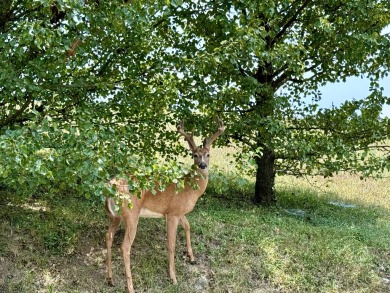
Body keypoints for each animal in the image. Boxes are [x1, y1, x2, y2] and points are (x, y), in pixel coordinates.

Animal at [105, 117, 224, 292]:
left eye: (208, 154)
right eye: (194, 155)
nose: (203, 165)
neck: (189, 188)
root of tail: (111, 186)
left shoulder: (179, 212)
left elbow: (188, 226)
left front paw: (192, 257)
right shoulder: (172, 213)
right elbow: (171, 244)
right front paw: (173, 277)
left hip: (115, 216)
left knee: (108, 236)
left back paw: (110, 279)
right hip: (131, 214)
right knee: (125, 246)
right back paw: (131, 287)